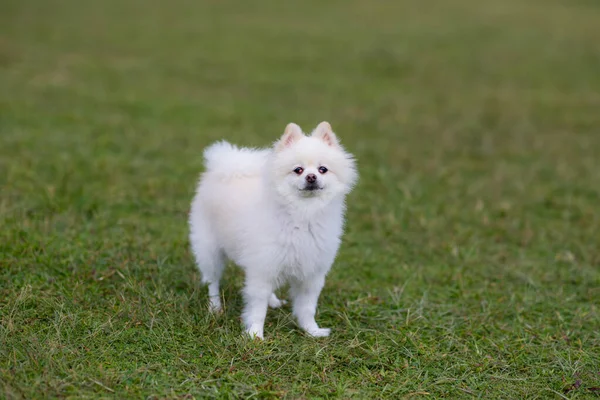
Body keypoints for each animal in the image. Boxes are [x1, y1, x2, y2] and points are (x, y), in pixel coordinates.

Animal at [188, 121, 356, 338]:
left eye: (323, 169)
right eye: (298, 170)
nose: (311, 177)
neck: (303, 214)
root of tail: (227, 167)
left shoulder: (311, 273)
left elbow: (307, 307)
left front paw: (311, 330)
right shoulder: (263, 268)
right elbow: (258, 307)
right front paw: (255, 335)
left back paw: (274, 301)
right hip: (210, 251)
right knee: (212, 281)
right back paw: (215, 306)